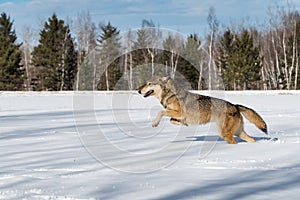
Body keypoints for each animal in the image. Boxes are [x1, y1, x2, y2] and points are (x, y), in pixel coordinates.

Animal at [138, 76, 268, 144]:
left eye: (149, 83)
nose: (138, 90)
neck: (170, 95)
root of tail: (235, 105)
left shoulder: (179, 112)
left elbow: (160, 112)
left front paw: (155, 123)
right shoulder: (178, 115)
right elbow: (171, 120)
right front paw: (183, 124)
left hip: (226, 134)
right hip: (238, 132)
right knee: (251, 139)